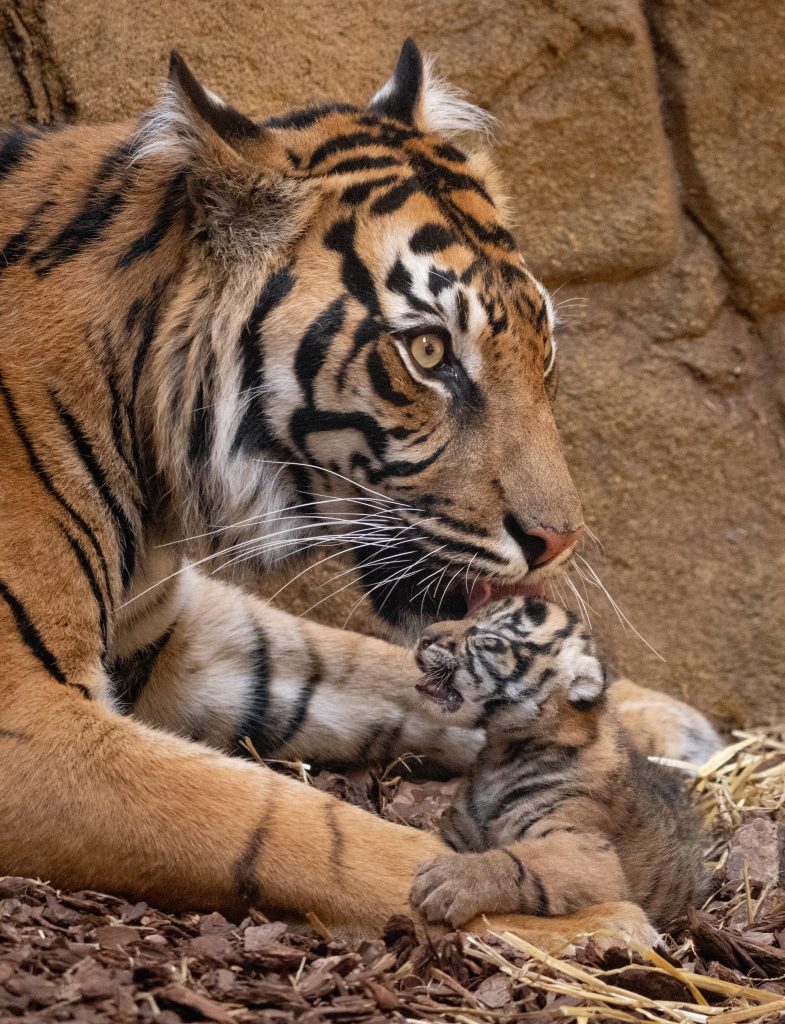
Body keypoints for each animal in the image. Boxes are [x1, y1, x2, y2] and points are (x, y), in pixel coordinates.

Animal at [0, 46, 720, 942]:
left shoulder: (163, 636)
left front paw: (646, 723)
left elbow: (339, 659)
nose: (558, 541)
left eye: (541, 347)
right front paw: (593, 922)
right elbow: (285, 824)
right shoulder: (23, 719)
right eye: (428, 352)